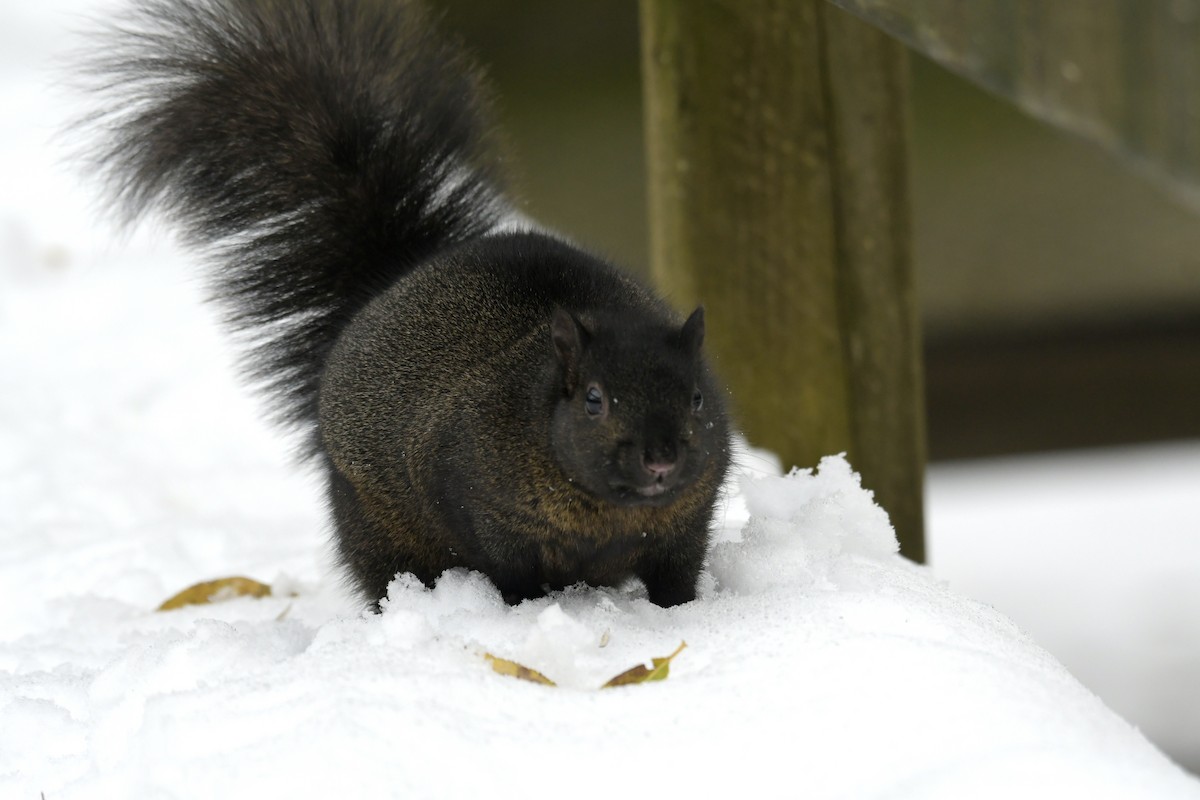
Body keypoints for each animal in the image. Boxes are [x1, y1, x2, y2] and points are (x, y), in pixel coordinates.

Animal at [82, 0, 732, 608]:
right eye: (594, 400)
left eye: (698, 397)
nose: (660, 460)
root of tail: (389, 285)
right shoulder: (489, 512)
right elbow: (514, 575)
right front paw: (523, 612)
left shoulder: (689, 522)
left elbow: (677, 575)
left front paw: (682, 615)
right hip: (375, 528)